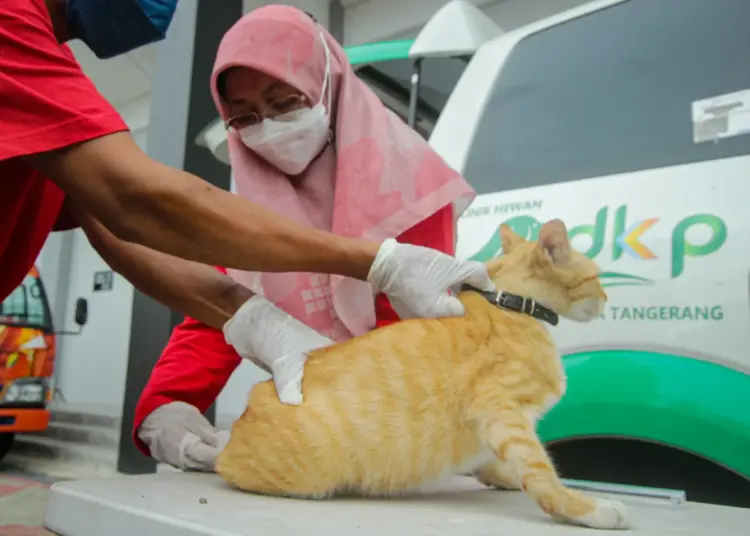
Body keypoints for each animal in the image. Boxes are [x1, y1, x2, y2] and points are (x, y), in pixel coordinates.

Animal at [217, 220, 628, 528]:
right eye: (597, 278)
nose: (607, 298)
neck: (510, 302)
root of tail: (248, 409)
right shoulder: (499, 409)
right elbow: (539, 470)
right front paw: (587, 510)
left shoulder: (489, 422)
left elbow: (500, 459)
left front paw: (500, 475)